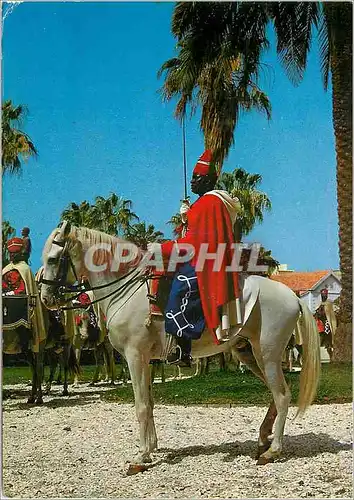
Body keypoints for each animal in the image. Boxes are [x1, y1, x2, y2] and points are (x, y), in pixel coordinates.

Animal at [40, 223, 320, 468]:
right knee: (276, 392)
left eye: (53, 259)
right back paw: (263, 438)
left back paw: (273, 450)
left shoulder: (134, 357)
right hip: (250, 354)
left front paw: (141, 456)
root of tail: (293, 297)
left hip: (268, 355)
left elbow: (141, 405)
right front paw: (152, 447)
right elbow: (150, 403)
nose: (46, 299)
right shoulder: (146, 361)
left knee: (282, 395)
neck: (125, 290)